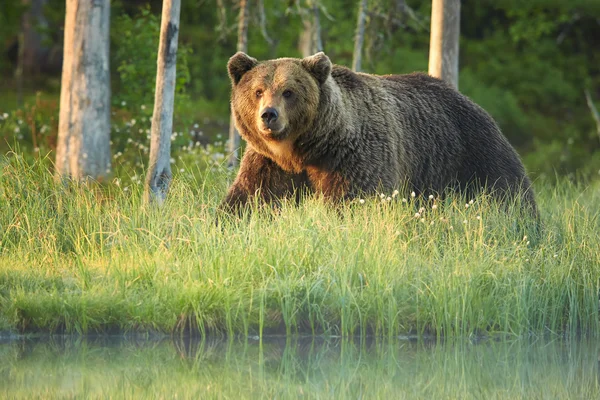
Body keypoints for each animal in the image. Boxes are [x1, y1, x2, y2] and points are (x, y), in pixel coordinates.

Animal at [221, 52, 540, 216]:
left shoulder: (352, 157)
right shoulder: (270, 164)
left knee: (508, 191)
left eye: (288, 92)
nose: (269, 115)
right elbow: (250, 198)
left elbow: (354, 200)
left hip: (473, 152)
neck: (304, 151)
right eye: (258, 91)